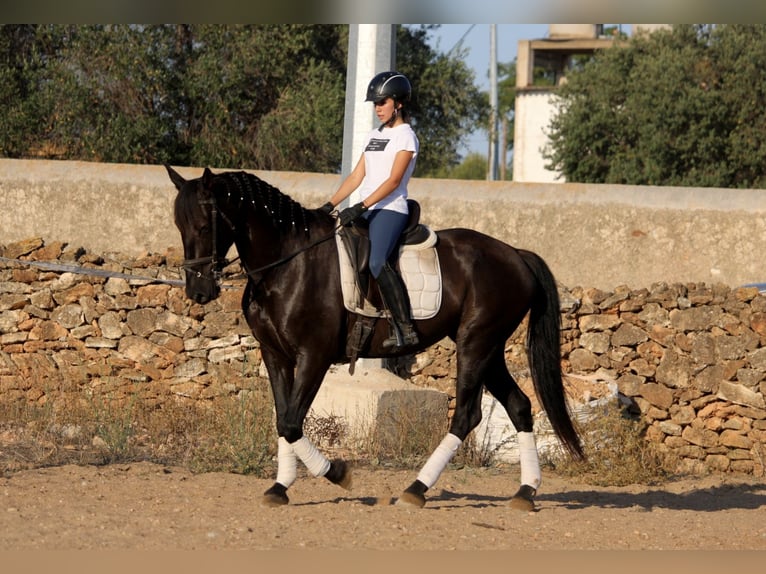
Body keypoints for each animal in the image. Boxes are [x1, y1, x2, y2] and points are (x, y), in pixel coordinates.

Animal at [168, 166, 584, 512]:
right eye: (179, 226)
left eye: (204, 226)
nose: (198, 292)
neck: (287, 263)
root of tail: (515, 254)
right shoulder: (275, 355)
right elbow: (283, 420)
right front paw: (280, 487)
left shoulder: (314, 355)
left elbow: (291, 422)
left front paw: (338, 473)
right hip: (490, 349)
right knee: (519, 406)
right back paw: (525, 492)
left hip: (475, 344)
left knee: (467, 415)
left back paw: (416, 489)